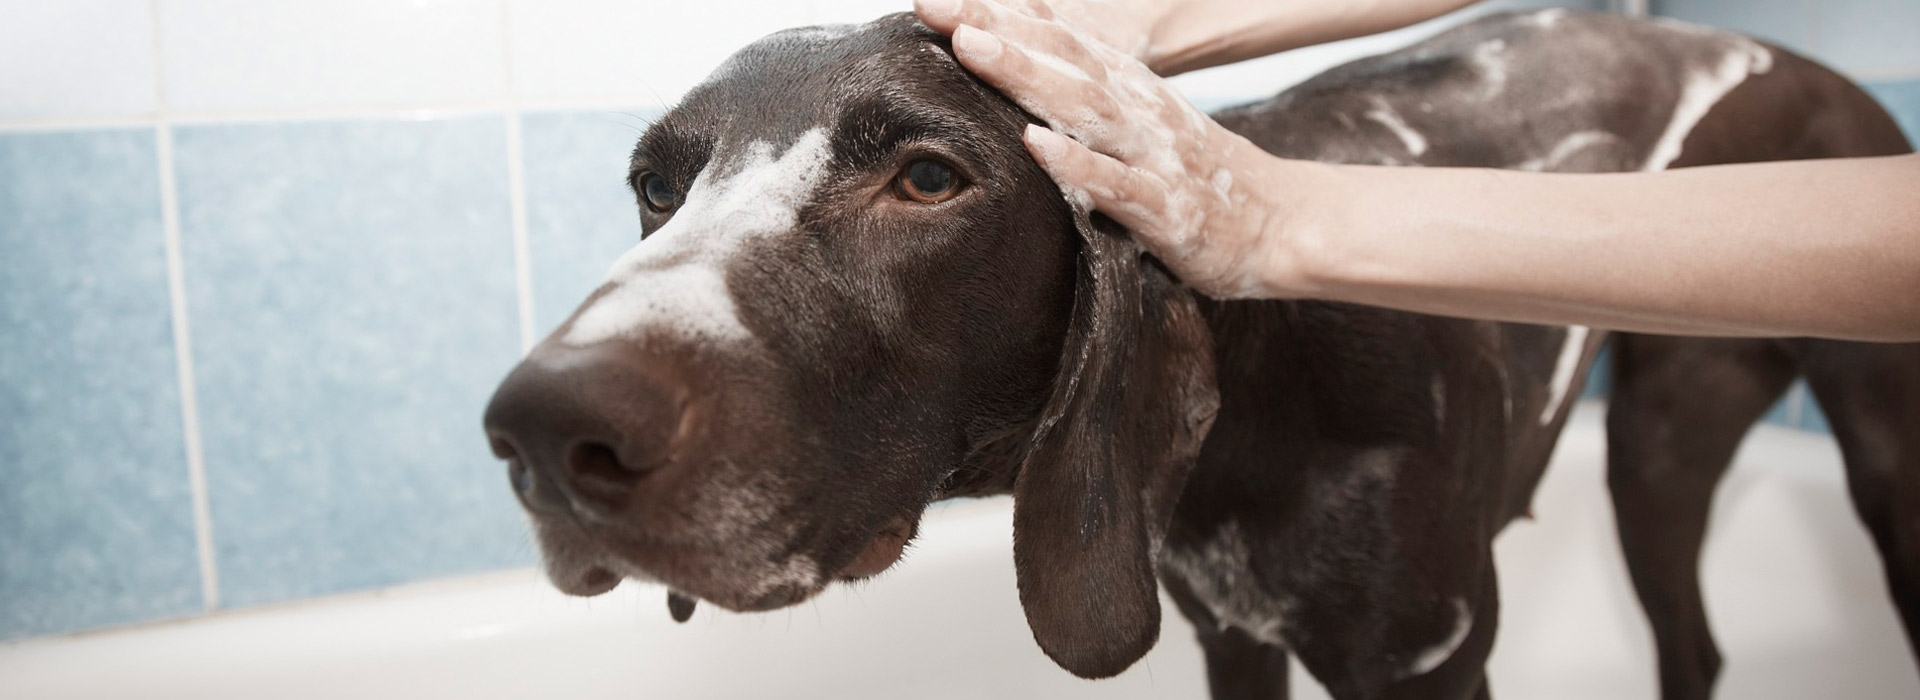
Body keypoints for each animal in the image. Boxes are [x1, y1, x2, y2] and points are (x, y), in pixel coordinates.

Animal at [483, 10, 1920, 698]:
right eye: (655, 186)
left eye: (929, 177)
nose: (544, 428)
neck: (1266, 396)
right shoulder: (1231, 636)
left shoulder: (1430, 666)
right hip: (1657, 458)